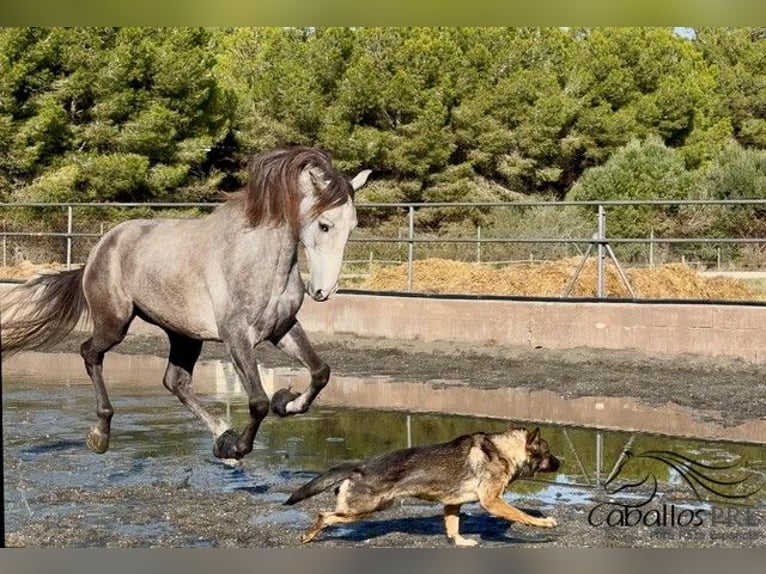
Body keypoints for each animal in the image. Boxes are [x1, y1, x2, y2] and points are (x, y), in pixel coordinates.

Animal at [1, 147, 371, 462]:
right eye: (324, 224)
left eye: (352, 226)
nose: (323, 291)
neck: (258, 258)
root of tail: (100, 248)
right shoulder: (237, 337)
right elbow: (257, 402)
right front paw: (238, 447)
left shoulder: (282, 328)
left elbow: (320, 372)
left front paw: (286, 403)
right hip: (115, 323)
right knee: (90, 353)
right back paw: (100, 434)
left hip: (184, 334)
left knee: (175, 381)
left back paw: (220, 434)